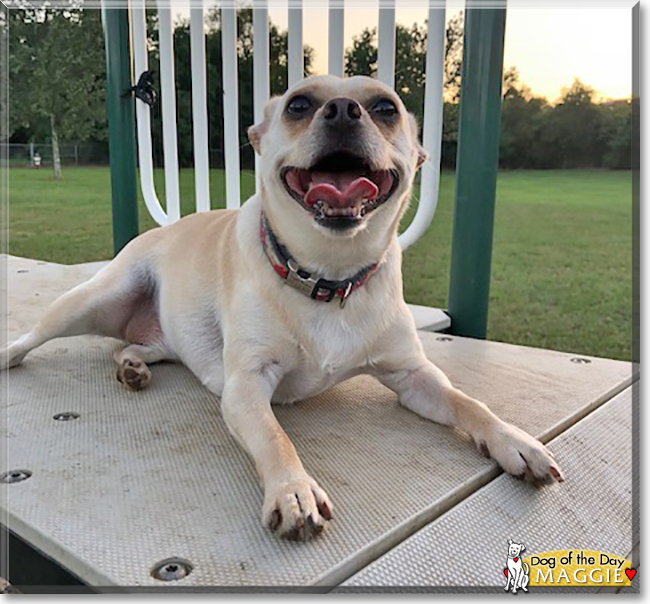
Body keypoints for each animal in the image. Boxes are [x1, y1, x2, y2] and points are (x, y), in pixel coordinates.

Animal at [2, 75, 560, 544]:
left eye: (386, 108)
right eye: (298, 105)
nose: (343, 109)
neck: (328, 276)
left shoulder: (415, 378)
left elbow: (470, 402)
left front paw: (514, 441)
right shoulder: (247, 384)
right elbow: (275, 437)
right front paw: (293, 490)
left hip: (158, 337)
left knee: (130, 346)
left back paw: (134, 367)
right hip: (94, 299)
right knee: (34, 337)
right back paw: (14, 355)